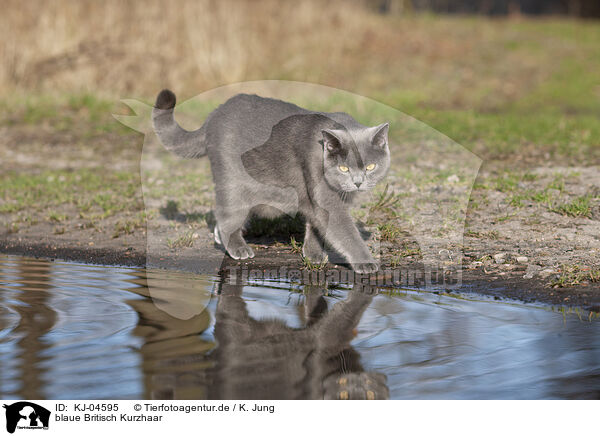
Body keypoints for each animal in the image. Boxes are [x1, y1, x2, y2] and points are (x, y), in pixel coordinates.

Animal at [152, 89, 392, 272]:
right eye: (344, 168)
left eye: (370, 167)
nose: (358, 182)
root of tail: (214, 115)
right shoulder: (327, 200)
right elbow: (345, 232)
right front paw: (366, 262)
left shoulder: (320, 198)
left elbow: (315, 226)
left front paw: (313, 254)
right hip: (233, 182)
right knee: (226, 216)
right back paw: (238, 248)